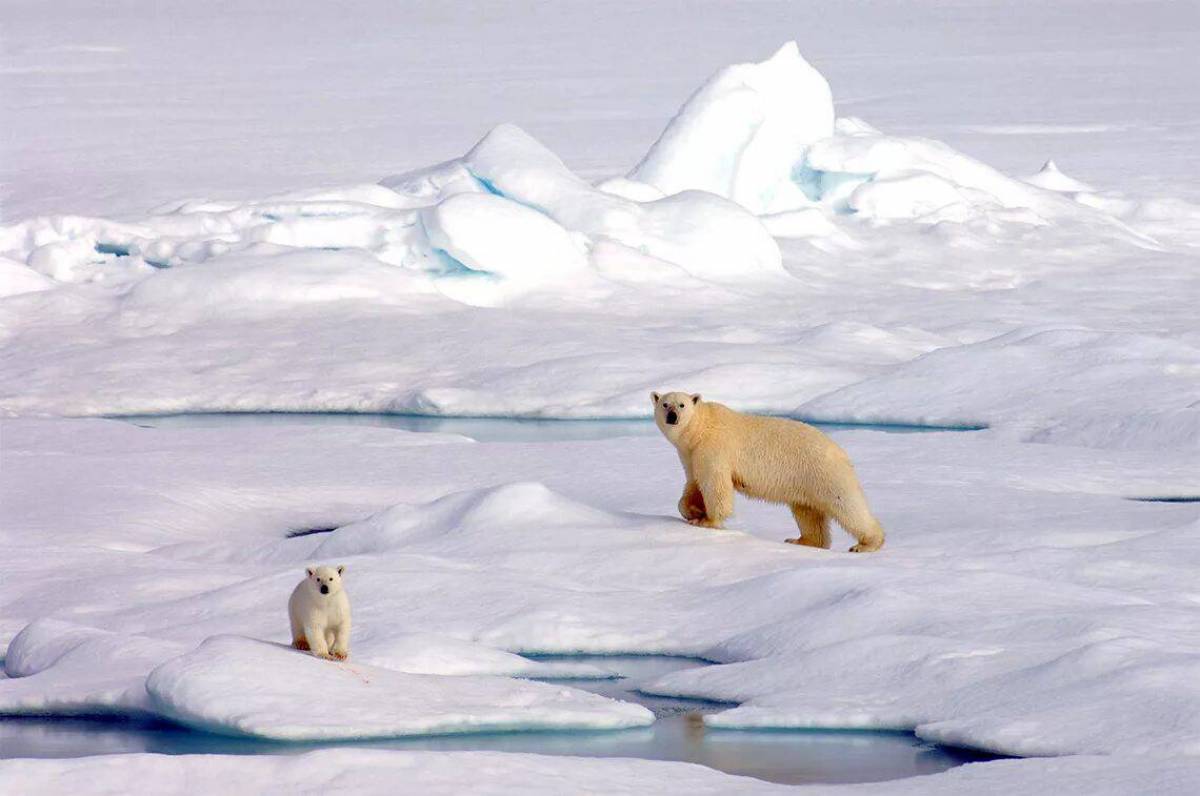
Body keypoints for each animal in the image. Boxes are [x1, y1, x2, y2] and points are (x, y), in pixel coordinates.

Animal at [652, 391, 888, 554]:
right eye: (665, 403)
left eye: (681, 404)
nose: (672, 416)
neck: (701, 428)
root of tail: (840, 452)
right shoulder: (690, 454)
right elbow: (694, 483)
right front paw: (693, 511)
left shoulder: (714, 447)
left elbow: (715, 486)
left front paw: (707, 521)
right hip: (806, 481)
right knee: (807, 512)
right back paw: (801, 540)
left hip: (823, 472)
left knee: (846, 504)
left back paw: (866, 544)